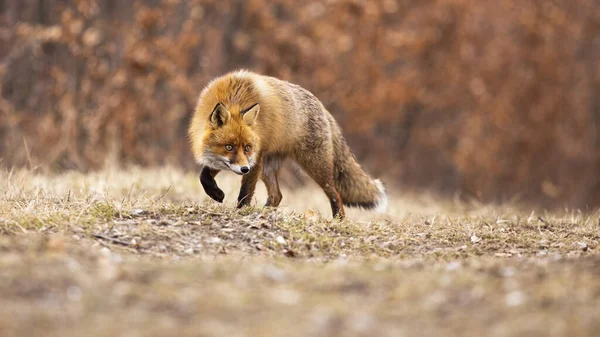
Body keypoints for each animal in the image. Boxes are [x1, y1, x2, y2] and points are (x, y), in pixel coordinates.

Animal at [189, 69, 390, 219]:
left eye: (247, 148)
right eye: (229, 147)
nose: (244, 169)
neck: (235, 97)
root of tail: (323, 109)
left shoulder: (253, 159)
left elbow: (246, 191)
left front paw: (240, 211)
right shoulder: (227, 160)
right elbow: (204, 176)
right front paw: (215, 193)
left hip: (314, 167)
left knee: (335, 194)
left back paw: (338, 220)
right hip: (268, 168)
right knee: (277, 195)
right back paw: (265, 212)